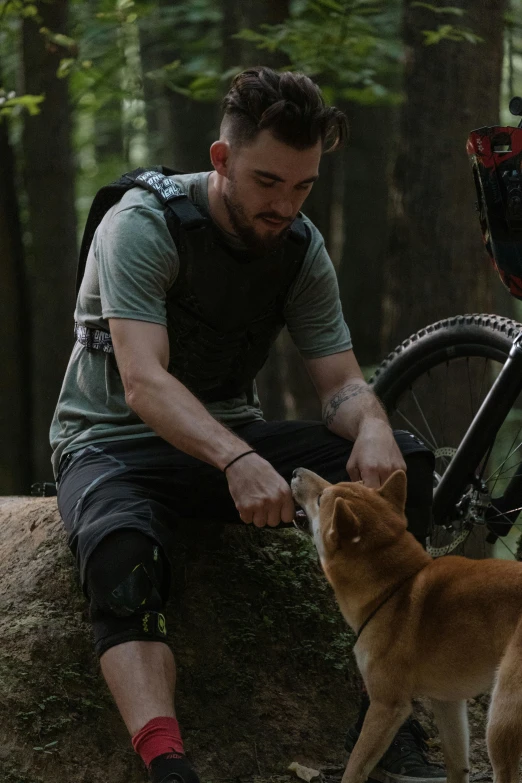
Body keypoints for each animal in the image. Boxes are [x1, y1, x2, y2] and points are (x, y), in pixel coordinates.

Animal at [290, 468, 520, 780]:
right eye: (354, 482)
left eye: (321, 497)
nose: (295, 472)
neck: (395, 587)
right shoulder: (448, 702)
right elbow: (456, 765)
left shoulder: (387, 706)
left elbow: (354, 768)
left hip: (501, 718)